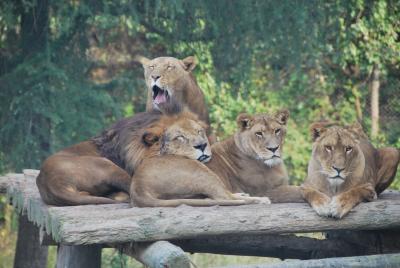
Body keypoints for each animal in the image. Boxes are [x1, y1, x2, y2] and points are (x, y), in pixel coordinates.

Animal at [130, 109, 270, 207]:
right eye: (180, 137)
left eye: (199, 131)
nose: (202, 145)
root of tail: (138, 188)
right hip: (202, 172)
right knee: (224, 197)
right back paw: (261, 199)